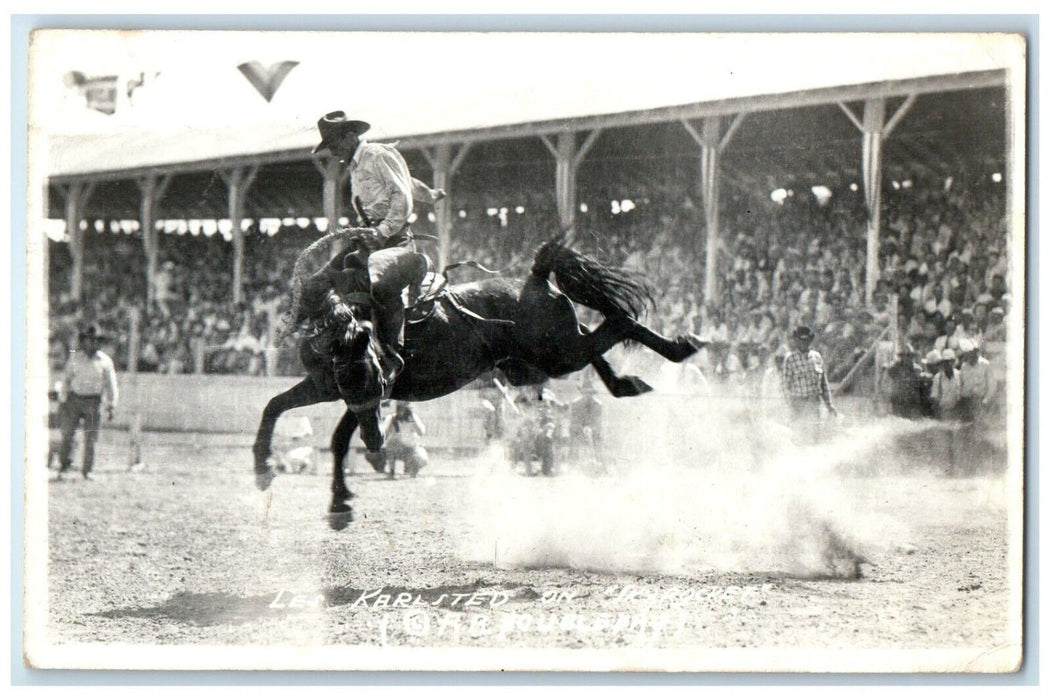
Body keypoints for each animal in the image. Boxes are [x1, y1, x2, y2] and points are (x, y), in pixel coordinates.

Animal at [251, 227, 705, 528]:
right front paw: (263, 469)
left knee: (619, 321)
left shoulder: (371, 396)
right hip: (543, 359)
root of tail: (535, 278)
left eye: (374, 376)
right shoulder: (329, 388)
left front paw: (339, 505)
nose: (377, 442)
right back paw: (635, 379)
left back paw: (682, 347)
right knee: (602, 345)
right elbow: (275, 406)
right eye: (347, 378)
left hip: (557, 354)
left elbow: (337, 438)